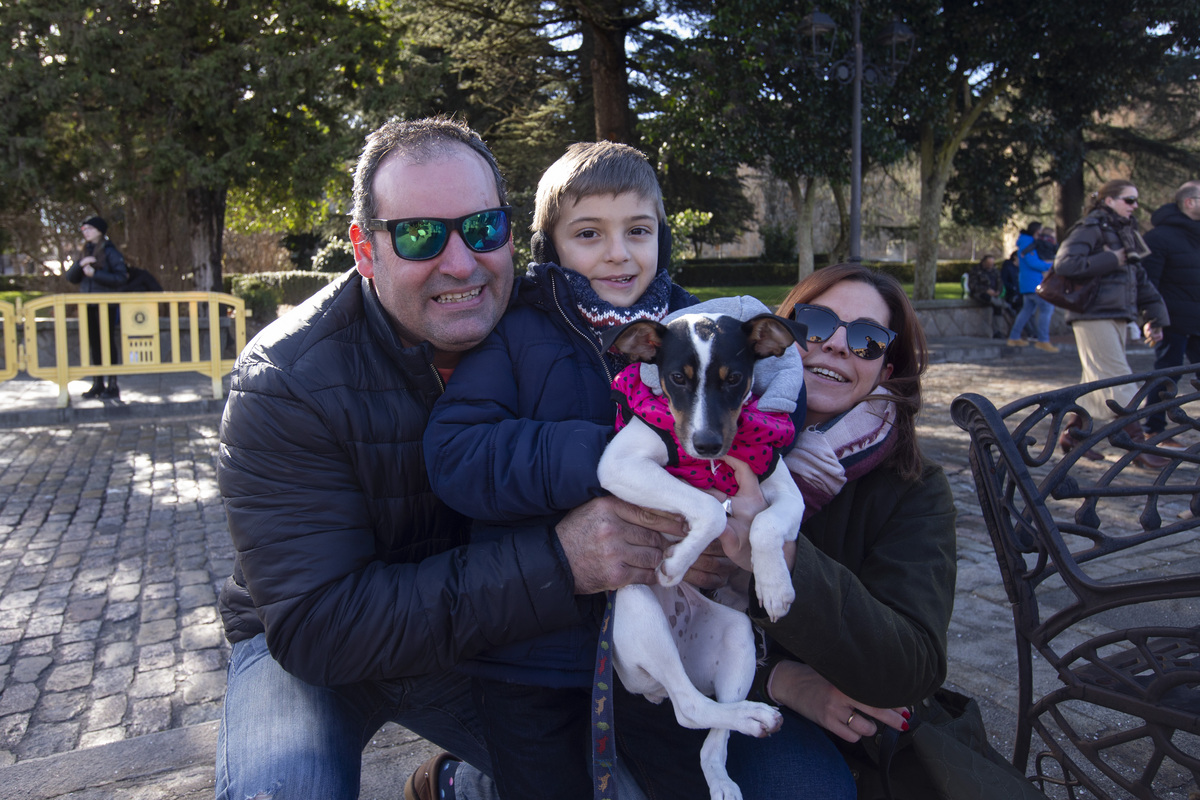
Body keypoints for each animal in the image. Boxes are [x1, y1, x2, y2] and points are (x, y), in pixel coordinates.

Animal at [597, 311, 806, 800]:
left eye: (734, 379)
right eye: (677, 378)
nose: (708, 444)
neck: (710, 467)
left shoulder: (783, 487)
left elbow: (765, 525)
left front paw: (775, 588)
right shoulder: (618, 464)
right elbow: (710, 508)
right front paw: (676, 563)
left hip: (737, 636)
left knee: (711, 735)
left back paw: (734, 756)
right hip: (635, 605)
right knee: (688, 708)